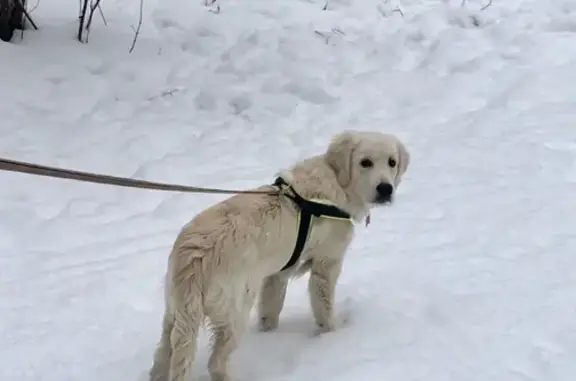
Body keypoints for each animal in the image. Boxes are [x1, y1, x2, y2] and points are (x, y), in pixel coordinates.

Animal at [148, 130, 410, 380]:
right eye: (365, 162)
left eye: (392, 162)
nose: (385, 189)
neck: (337, 182)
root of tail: (194, 259)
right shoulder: (326, 264)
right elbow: (324, 309)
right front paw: (330, 334)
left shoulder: (277, 274)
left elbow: (270, 309)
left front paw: (268, 333)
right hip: (234, 310)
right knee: (216, 363)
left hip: (176, 313)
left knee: (162, 356)